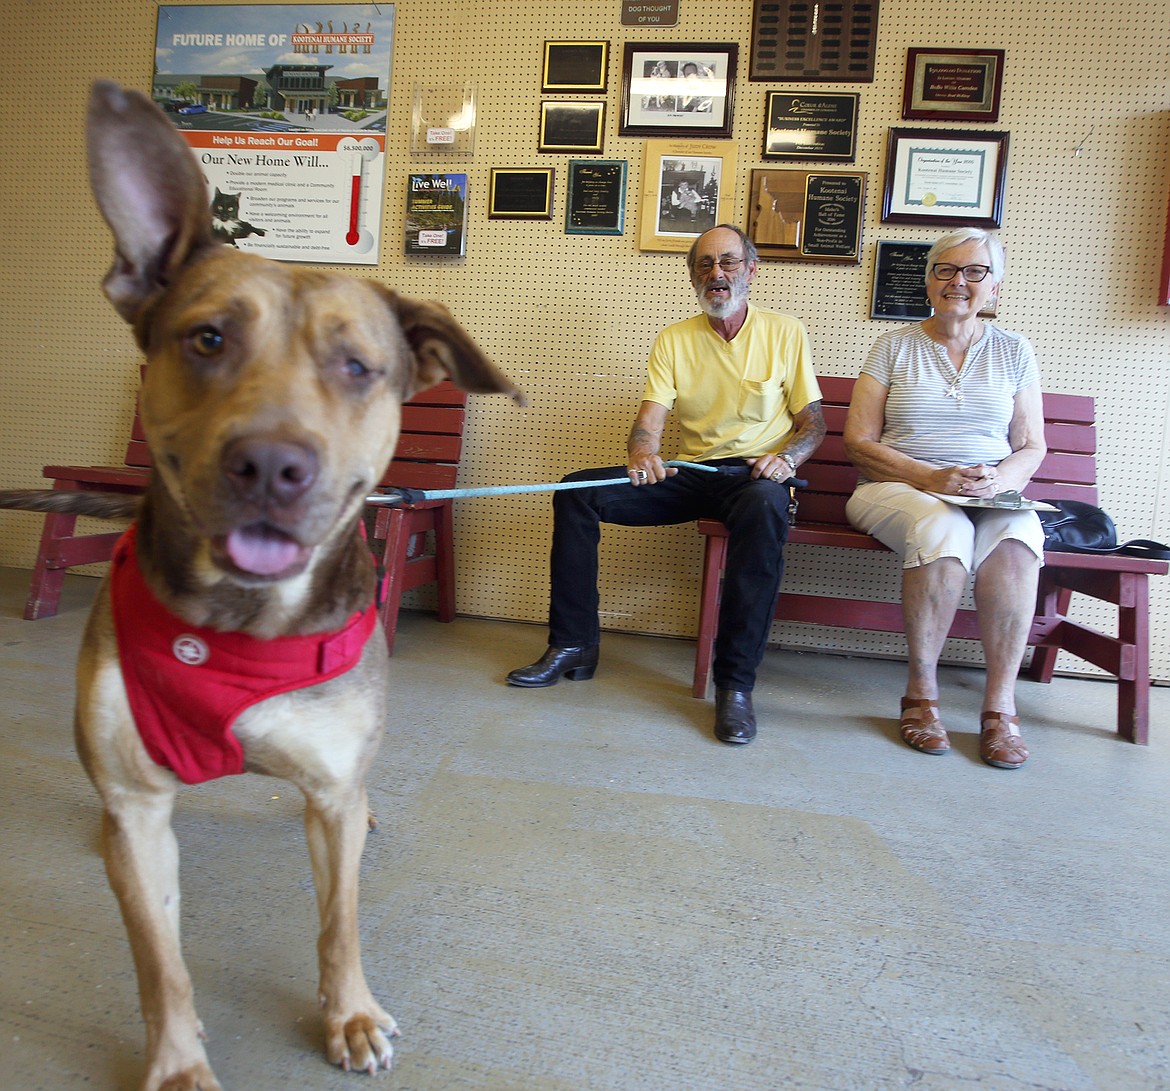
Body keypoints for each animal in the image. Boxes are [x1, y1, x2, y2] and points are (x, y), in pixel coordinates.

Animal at [1, 83, 521, 1091]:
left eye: (358, 366)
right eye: (207, 338)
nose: (272, 465)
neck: (239, 624)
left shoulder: (328, 790)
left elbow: (339, 920)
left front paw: (349, 1015)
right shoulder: (139, 809)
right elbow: (159, 961)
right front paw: (174, 1062)